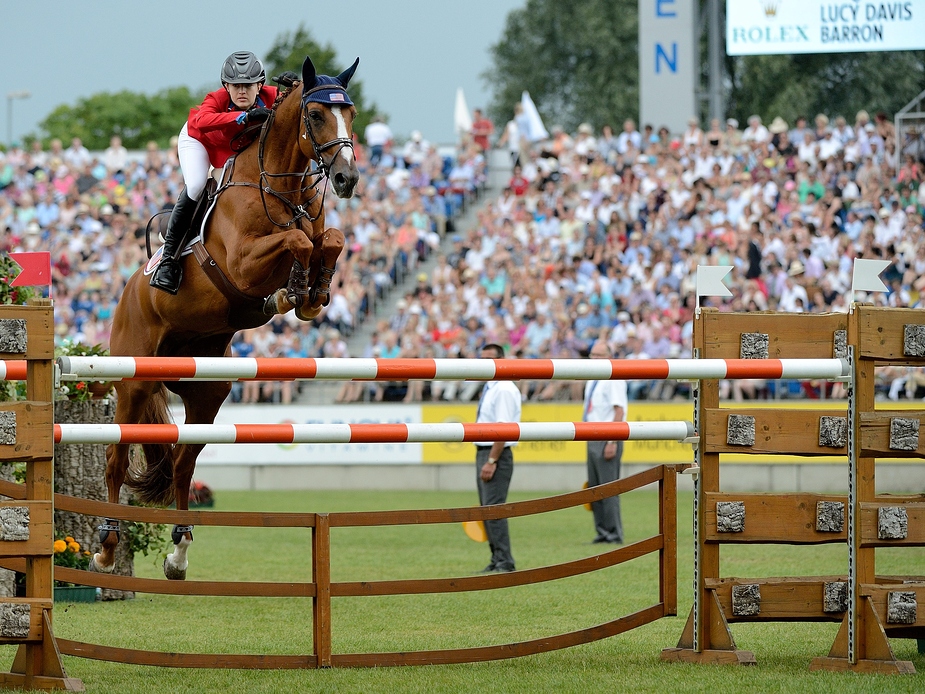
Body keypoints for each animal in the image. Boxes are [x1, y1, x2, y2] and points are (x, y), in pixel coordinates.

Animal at [89, 55, 358, 580]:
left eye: (351, 113)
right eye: (317, 116)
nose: (346, 179)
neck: (282, 185)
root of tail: (127, 291)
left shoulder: (319, 231)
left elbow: (329, 238)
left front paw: (313, 294)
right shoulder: (243, 263)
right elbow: (297, 241)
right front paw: (291, 292)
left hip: (207, 391)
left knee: (182, 465)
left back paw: (178, 553)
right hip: (133, 381)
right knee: (114, 458)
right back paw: (107, 549)